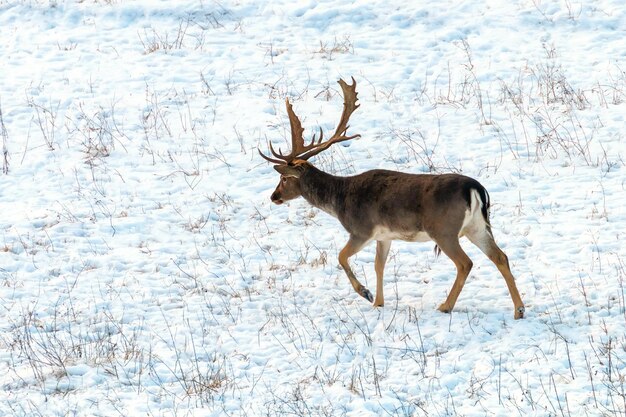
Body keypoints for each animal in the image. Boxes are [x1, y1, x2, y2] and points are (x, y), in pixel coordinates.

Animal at [258, 77, 520, 318]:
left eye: (284, 179)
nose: (274, 196)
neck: (339, 200)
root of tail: (476, 189)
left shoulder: (360, 229)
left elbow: (341, 256)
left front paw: (365, 293)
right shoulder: (383, 236)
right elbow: (379, 265)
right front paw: (378, 302)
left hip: (444, 229)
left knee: (466, 263)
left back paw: (445, 306)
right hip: (476, 226)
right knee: (501, 256)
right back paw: (519, 309)